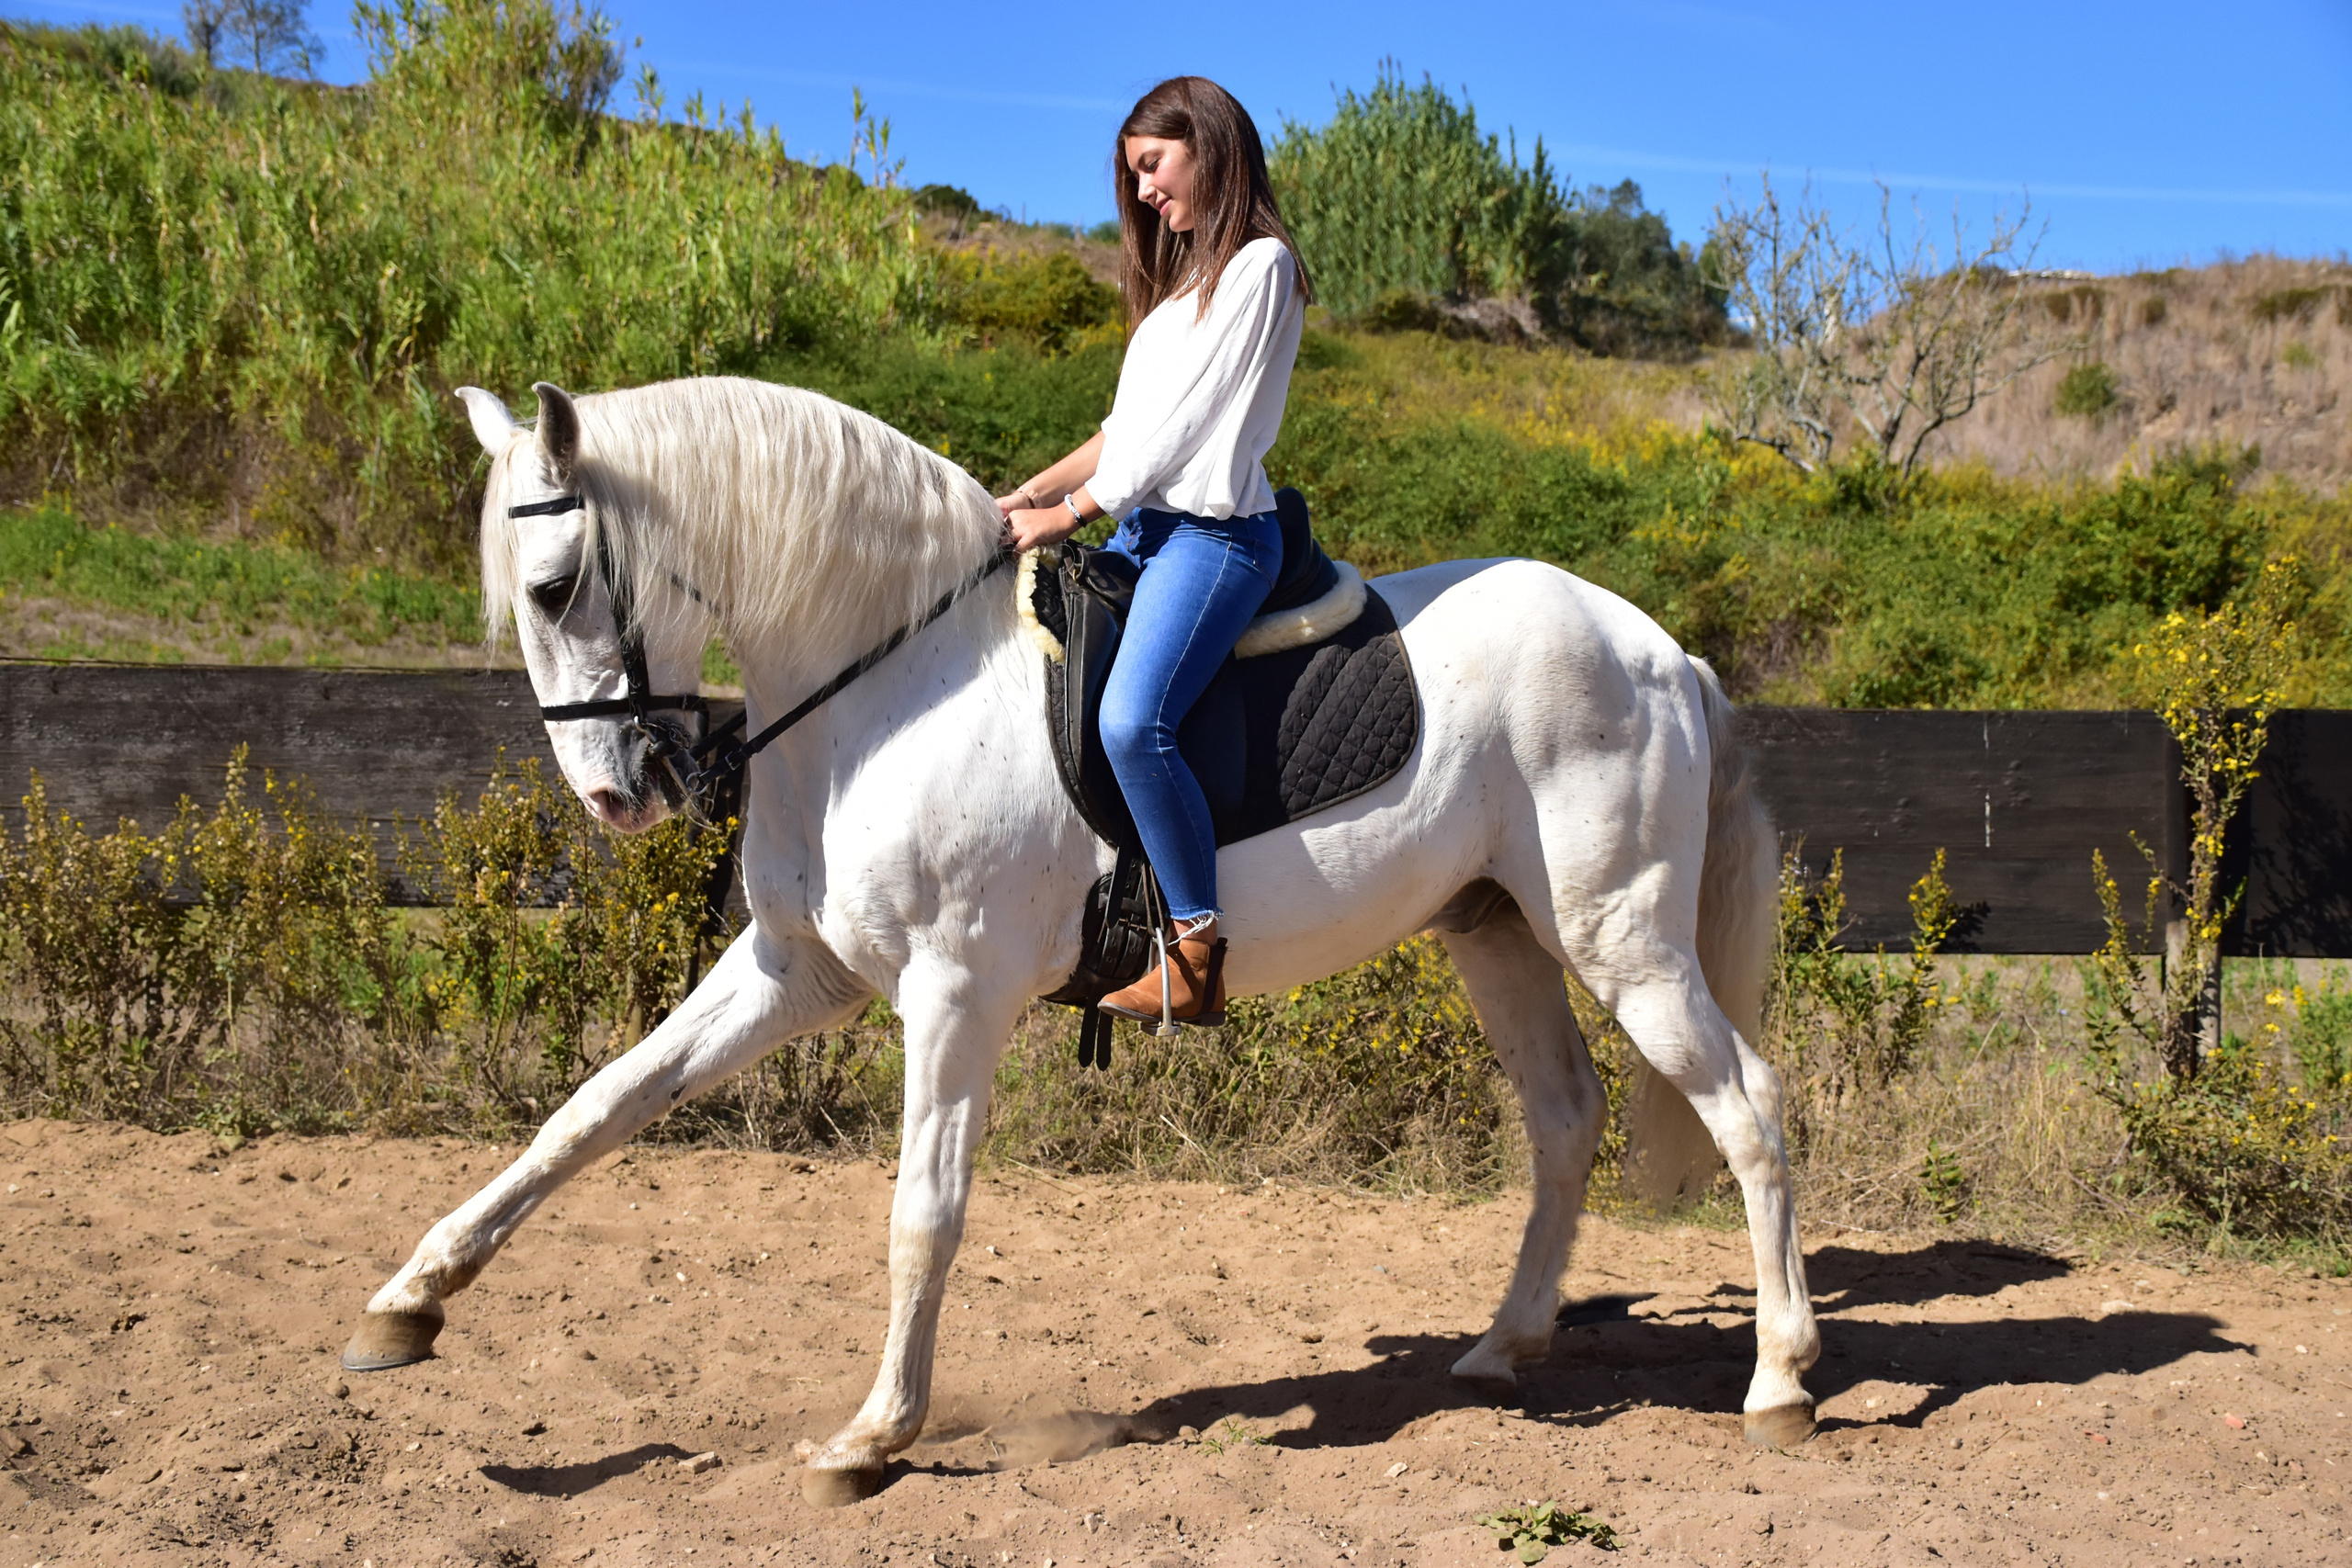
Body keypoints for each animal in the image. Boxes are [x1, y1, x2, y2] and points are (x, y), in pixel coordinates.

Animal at [341, 375, 1820, 1503]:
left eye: (555, 583)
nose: (613, 797)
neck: (892, 690)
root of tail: (1660, 651)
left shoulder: (952, 993)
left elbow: (921, 1214)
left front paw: (871, 1437)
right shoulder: (793, 972)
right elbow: (591, 1109)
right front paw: (409, 1303)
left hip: (1621, 937)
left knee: (1749, 1106)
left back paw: (1781, 1380)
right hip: (1497, 932)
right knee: (1567, 1119)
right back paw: (1503, 1349)